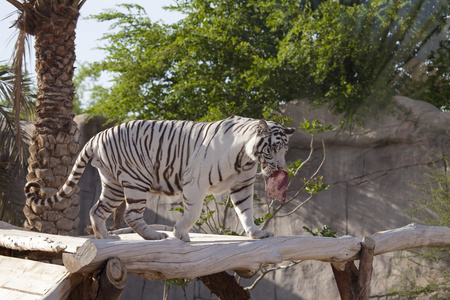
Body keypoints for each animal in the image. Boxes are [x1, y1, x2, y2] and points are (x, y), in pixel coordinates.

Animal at [26, 116, 298, 243]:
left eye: (285, 150)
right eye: (272, 149)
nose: (281, 167)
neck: (246, 157)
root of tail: (97, 135)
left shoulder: (242, 186)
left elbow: (246, 211)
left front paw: (256, 233)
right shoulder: (195, 182)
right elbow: (192, 213)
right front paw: (180, 233)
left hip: (113, 184)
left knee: (97, 210)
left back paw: (106, 237)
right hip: (137, 180)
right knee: (131, 215)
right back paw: (155, 236)